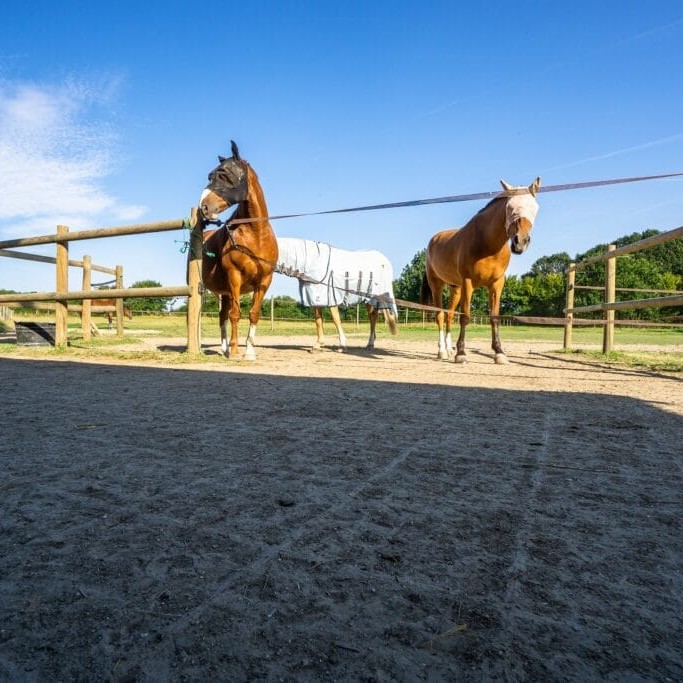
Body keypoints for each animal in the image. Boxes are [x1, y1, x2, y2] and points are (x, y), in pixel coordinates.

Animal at [199, 142, 280, 360]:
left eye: (225, 175)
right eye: (209, 176)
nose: (204, 207)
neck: (255, 235)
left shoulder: (264, 282)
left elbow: (253, 314)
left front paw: (249, 351)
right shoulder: (235, 277)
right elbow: (236, 314)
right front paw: (236, 351)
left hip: (225, 292)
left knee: (222, 316)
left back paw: (224, 348)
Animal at [420, 179, 544, 366]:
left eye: (534, 208)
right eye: (510, 207)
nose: (520, 242)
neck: (488, 245)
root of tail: (434, 240)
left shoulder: (496, 284)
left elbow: (494, 318)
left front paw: (499, 353)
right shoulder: (468, 283)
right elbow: (465, 317)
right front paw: (461, 353)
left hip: (455, 289)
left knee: (449, 315)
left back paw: (448, 350)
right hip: (437, 285)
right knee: (440, 316)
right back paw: (442, 352)